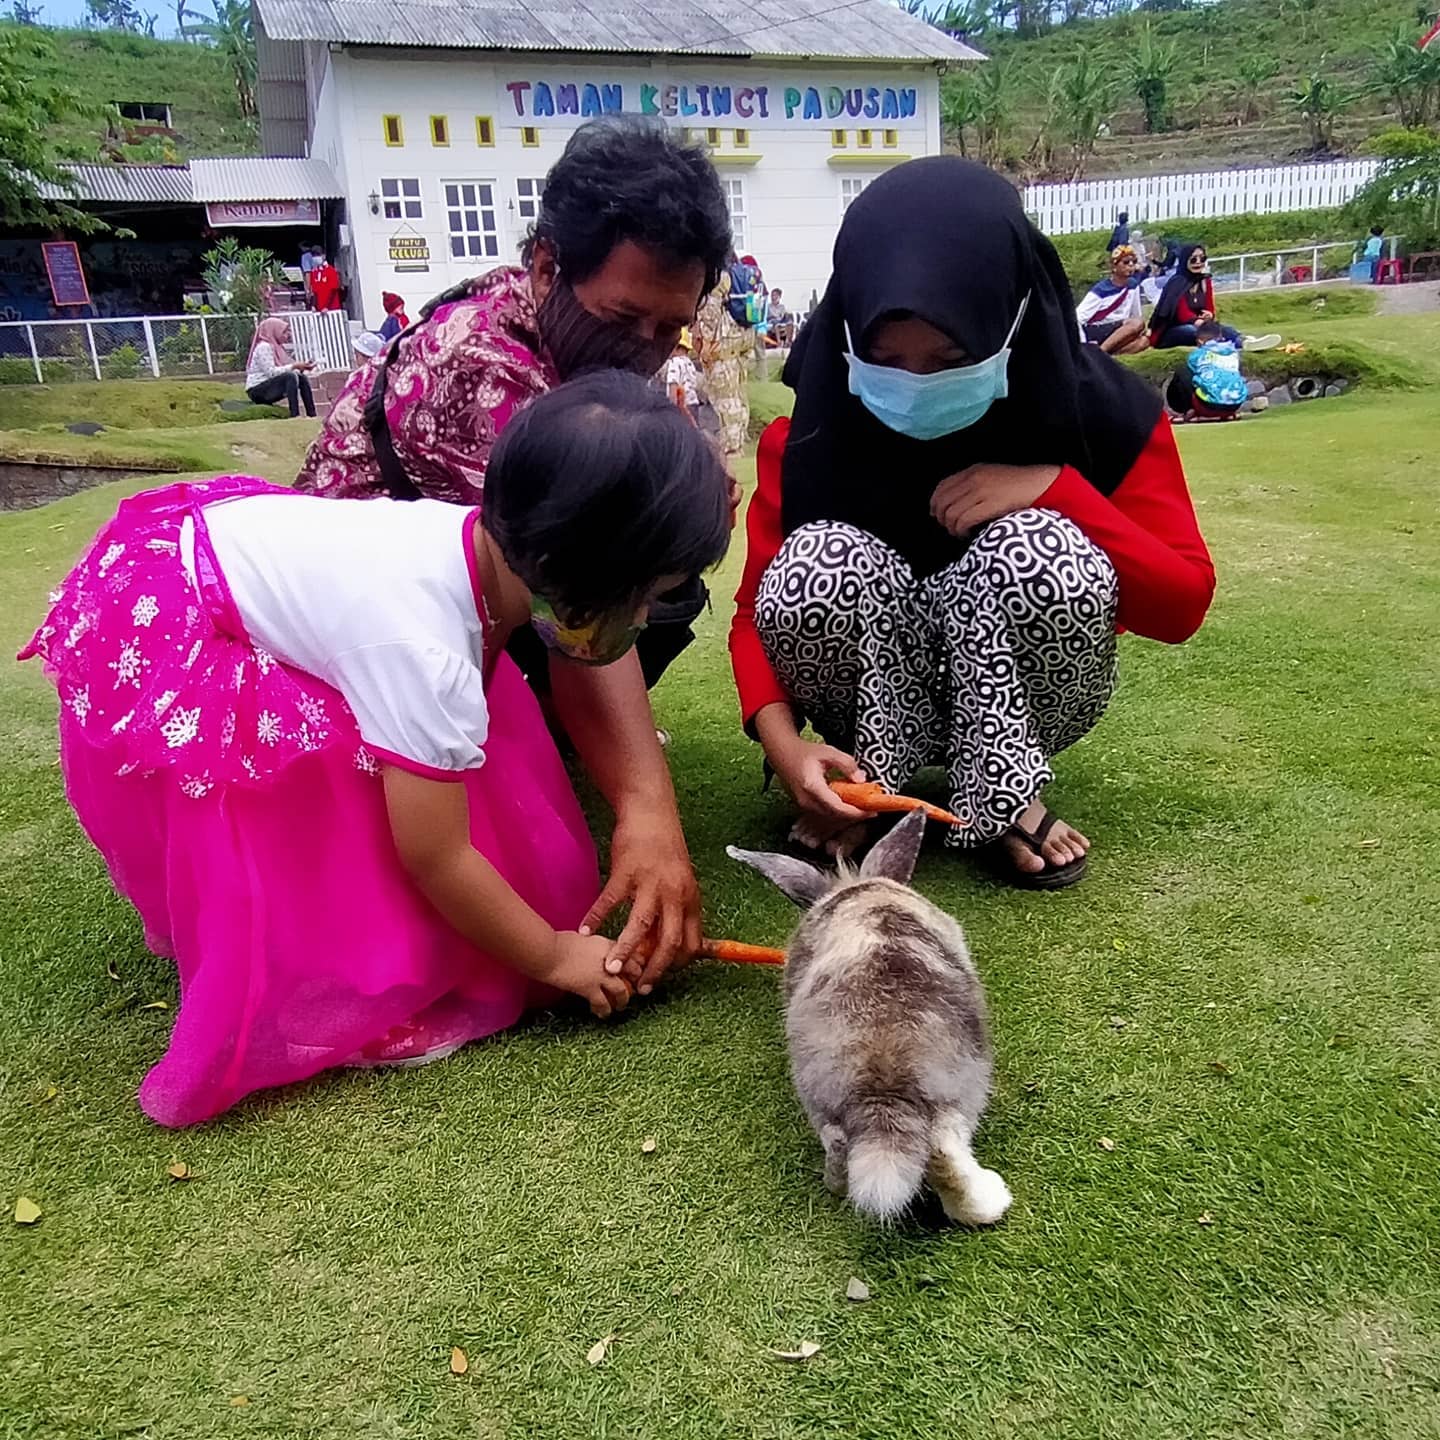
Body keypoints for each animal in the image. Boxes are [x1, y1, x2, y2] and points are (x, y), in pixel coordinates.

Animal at [725, 812, 1008, 1226]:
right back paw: (993, 1199)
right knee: (946, 1154)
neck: (859, 890)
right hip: (962, 1094)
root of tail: (884, 1085)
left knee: (840, 1149)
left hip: (825, 1106)